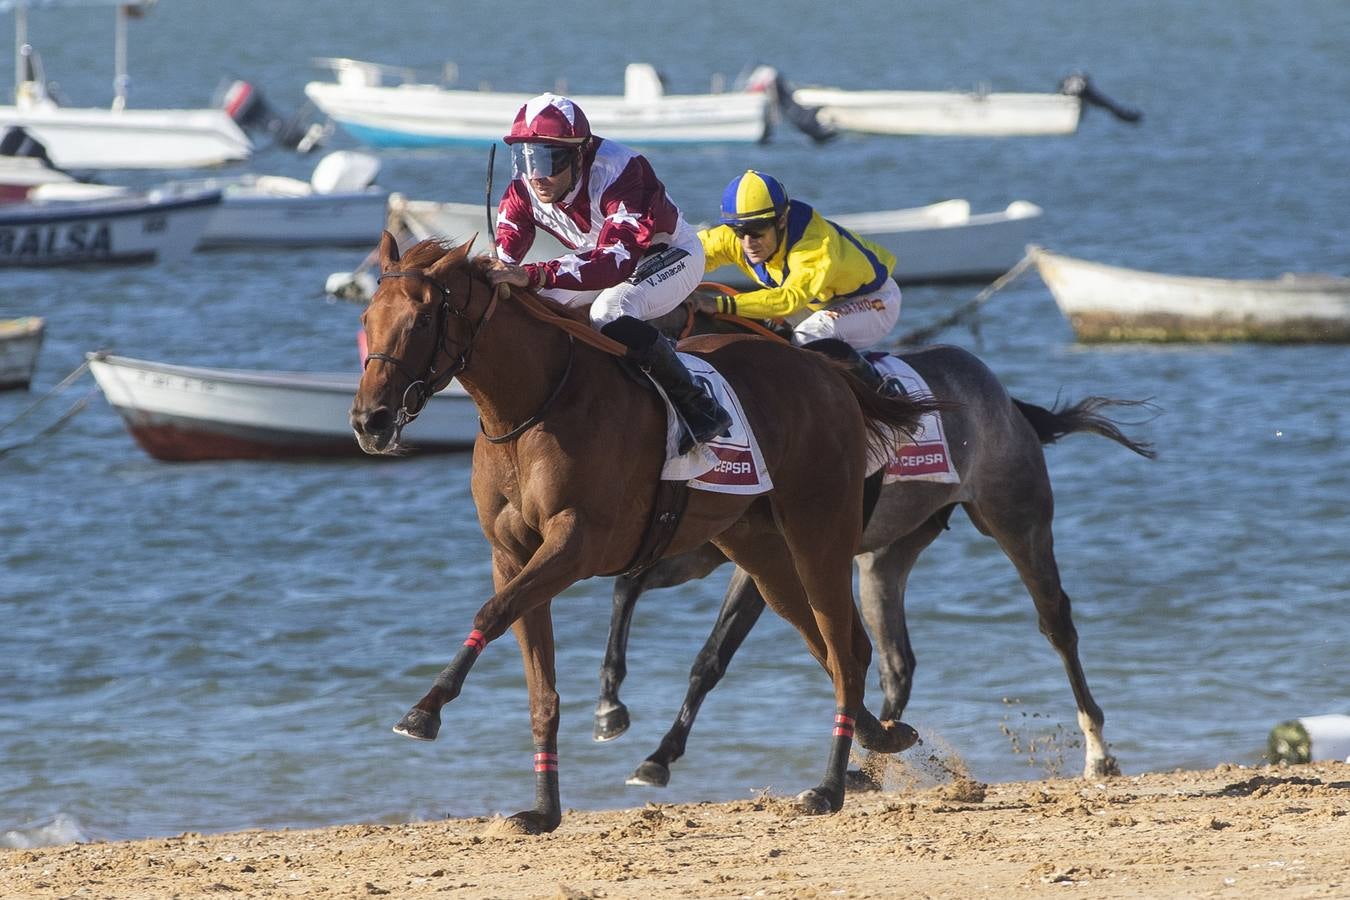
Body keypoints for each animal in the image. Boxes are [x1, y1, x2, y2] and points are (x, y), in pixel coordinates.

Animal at [353, 234, 934, 836]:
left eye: (423, 319)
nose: (370, 421)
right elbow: (538, 683)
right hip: (759, 551)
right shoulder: (510, 556)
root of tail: (824, 369)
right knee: (834, 646)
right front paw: (544, 809)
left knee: (843, 649)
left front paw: (425, 709)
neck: (532, 409)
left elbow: (491, 613)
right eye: (368, 318)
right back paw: (883, 735)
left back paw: (829, 787)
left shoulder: (578, 544)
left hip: (818, 528)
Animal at [591, 341, 1150, 782]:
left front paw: (655, 751)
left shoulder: (763, 560)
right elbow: (630, 585)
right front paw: (619, 715)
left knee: (1056, 624)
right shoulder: (704, 548)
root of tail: (1006, 400)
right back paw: (874, 758)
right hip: (885, 560)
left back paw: (1098, 753)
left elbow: (714, 654)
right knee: (897, 664)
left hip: (1016, 520)